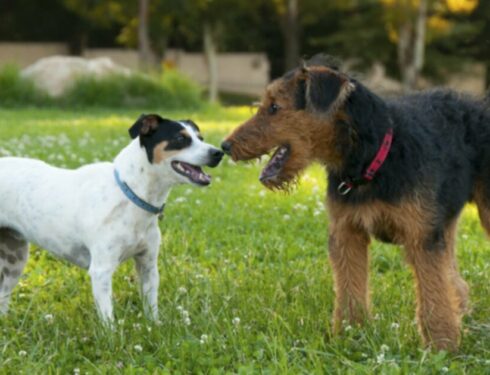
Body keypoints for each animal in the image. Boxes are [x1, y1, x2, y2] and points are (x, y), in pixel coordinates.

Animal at [0, 115, 222, 324]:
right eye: (180, 139)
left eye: (201, 138)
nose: (218, 153)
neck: (130, 194)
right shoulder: (101, 270)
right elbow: (108, 318)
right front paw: (112, 336)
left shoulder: (148, 265)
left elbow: (151, 305)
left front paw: (155, 326)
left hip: (14, 260)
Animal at [221, 54, 490, 352]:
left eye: (275, 107)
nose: (225, 146)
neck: (371, 158)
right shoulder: (347, 232)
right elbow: (350, 289)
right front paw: (350, 336)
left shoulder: (421, 237)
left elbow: (433, 293)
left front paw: (442, 346)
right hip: (445, 218)